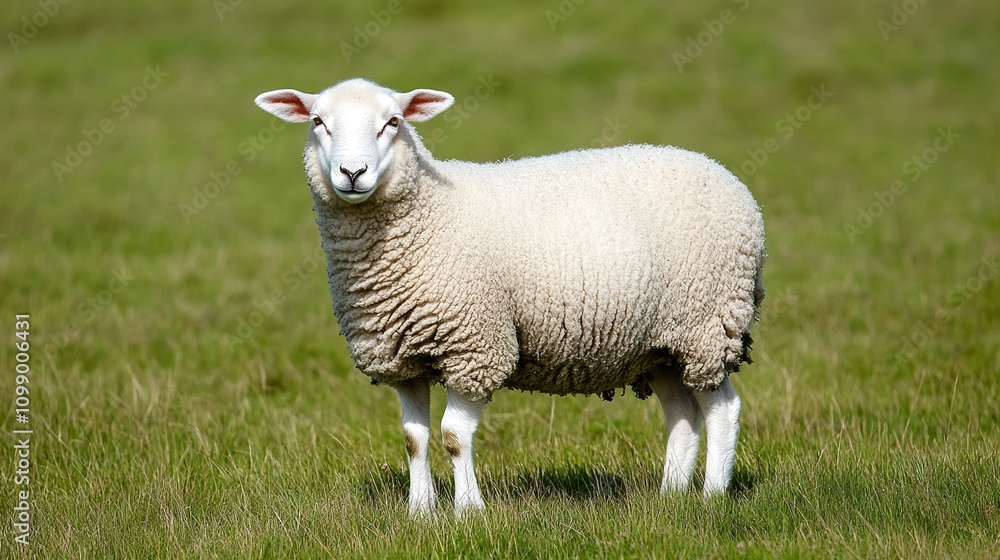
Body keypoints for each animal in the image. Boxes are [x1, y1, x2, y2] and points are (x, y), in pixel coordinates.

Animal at [254, 78, 766, 517]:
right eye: (318, 121)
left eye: (393, 122)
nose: (352, 172)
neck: (423, 217)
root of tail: (729, 179)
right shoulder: (404, 357)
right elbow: (414, 439)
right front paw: (420, 512)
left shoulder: (475, 345)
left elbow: (453, 437)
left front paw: (468, 510)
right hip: (660, 344)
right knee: (683, 415)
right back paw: (670, 496)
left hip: (707, 323)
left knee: (721, 409)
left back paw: (711, 497)